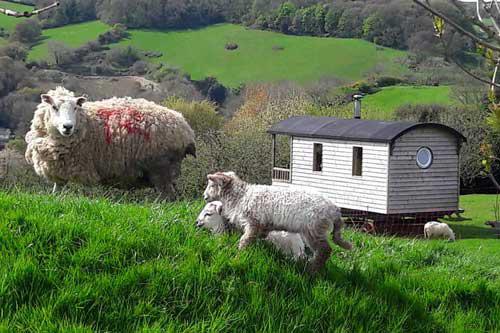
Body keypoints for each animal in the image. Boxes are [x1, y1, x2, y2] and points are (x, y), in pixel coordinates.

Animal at [24, 87, 195, 198]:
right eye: (54, 107)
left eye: (75, 107)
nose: (67, 126)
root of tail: (186, 129)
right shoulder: (60, 170)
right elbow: (57, 190)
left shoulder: (86, 169)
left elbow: (87, 194)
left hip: (160, 168)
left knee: (169, 198)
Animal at [202, 171, 352, 270]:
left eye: (211, 185)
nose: (204, 196)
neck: (241, 196)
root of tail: (334, 209)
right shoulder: (261, 225)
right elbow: (258, 236)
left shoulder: (253, 222)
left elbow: (245, 239)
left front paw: (240, 255)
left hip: (313, 229)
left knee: (324, 250)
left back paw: (312, 269)